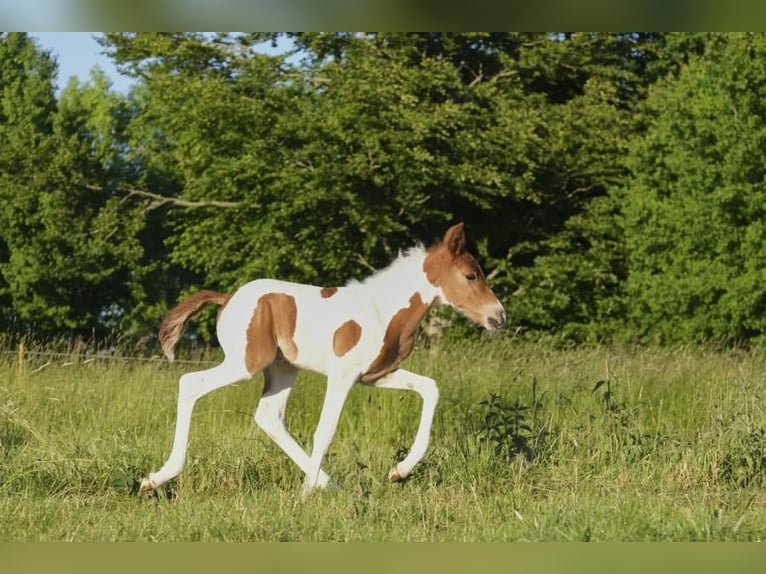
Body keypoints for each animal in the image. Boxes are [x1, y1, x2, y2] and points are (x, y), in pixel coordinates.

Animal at [141, 223, 508, 498]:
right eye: (470, 276)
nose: (499, 317)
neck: (383, 310)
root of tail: (227, 297)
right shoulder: (343, 375)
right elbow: (325, 430)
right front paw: (303, 497)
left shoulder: (377, 375)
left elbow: (430, 388)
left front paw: (399, 472)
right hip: (245, 364)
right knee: (190, 383)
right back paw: (156, 478)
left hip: (282, 370)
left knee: (269, 417)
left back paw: (329, 485)